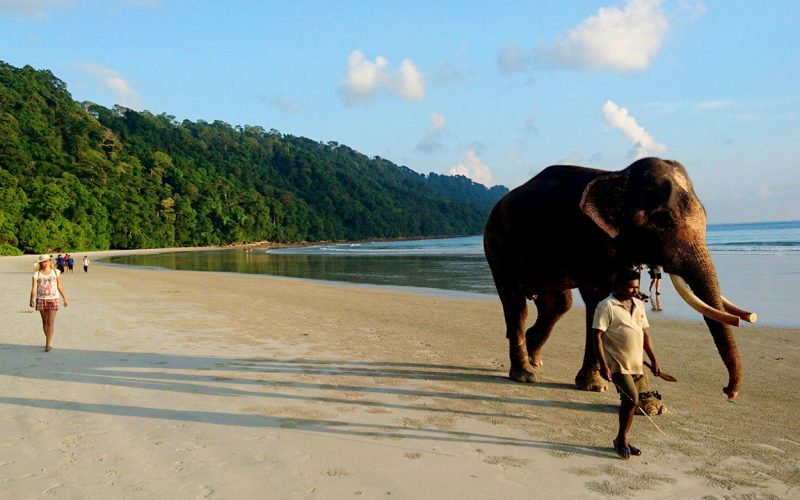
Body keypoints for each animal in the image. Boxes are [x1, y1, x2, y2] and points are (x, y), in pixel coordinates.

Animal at [482, 157, 756, 406]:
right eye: (663, 221)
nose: (728, 391)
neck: (618, 175)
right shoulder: (587, 239)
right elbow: (597, 299)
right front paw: (596, 386)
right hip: (496, 246)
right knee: (517, 304)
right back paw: (524, 374)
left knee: (558, 305)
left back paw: (534, 360)